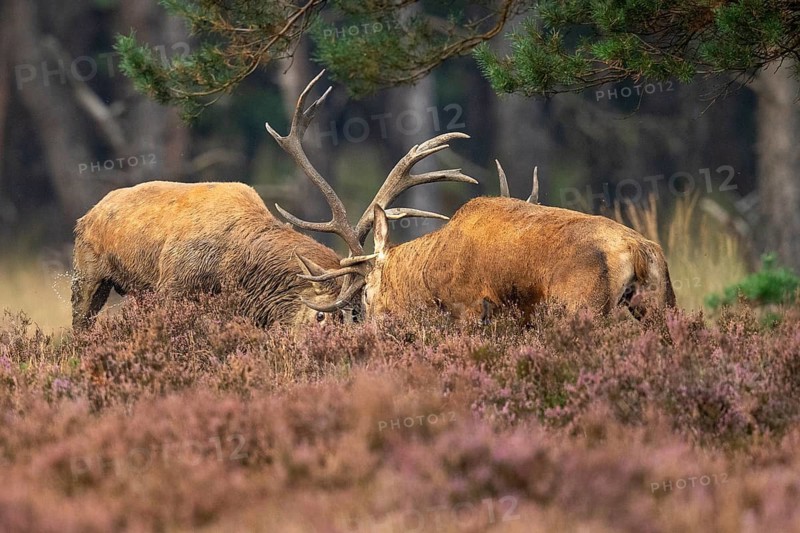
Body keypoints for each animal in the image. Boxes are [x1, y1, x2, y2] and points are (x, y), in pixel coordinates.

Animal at [71, 71, 476, 330]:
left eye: (356, 320)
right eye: (321, 317)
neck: (235, 271)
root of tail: (88, 213)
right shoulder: (172, 289)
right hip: (86, 274)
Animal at [296, 161, 676, 323]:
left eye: (366, 293)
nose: (370, 326)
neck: (429, 272)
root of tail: (638, 250)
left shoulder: (469, 307)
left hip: (582, 305)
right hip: (662, 302)